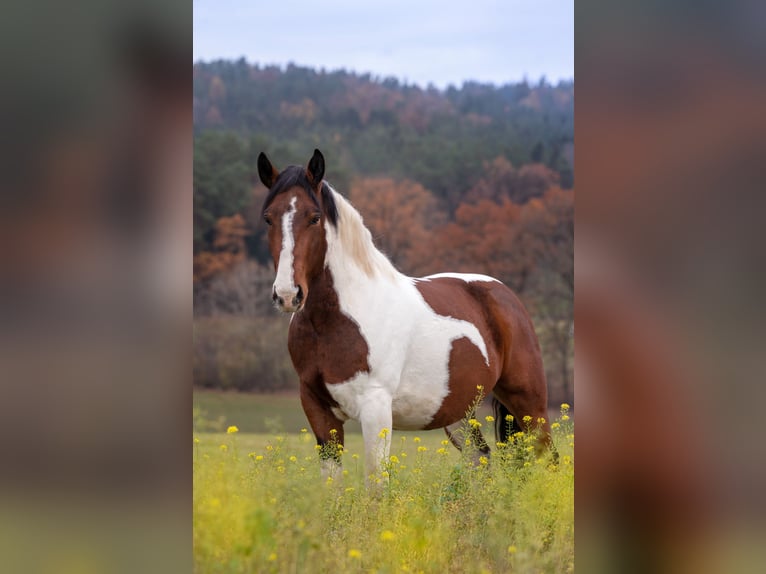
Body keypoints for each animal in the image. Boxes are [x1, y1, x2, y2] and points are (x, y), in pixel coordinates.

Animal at [260, 151, 556, 484]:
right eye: (268, 217)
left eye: (314, 217)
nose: (288, 294)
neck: (333, 322)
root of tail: (505, 294)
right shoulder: (317, 408)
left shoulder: (376, 408)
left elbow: (376, 485)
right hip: (460, 412)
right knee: (480, 459)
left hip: (529, 403)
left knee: (550, 458)